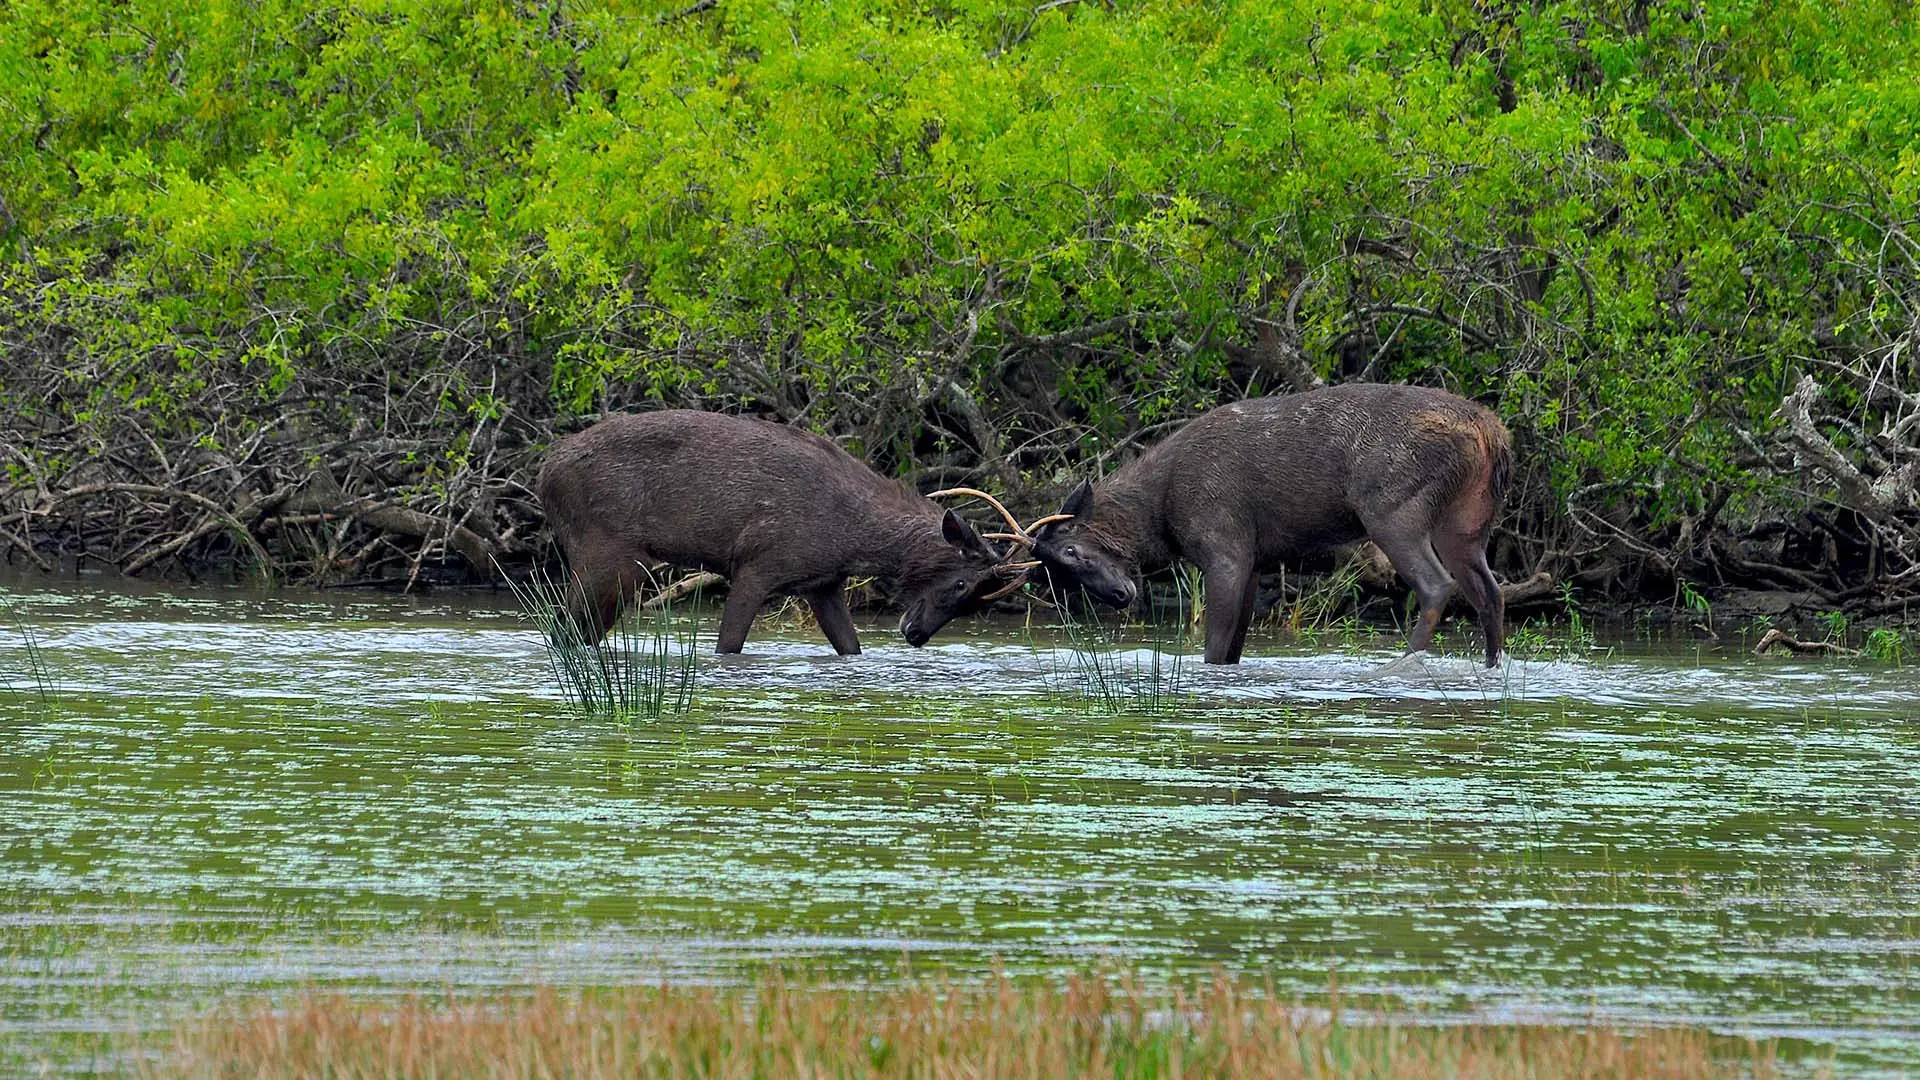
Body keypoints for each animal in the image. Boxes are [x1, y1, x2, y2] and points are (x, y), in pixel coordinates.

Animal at [535, 410, 1034, 654]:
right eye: (962, 583)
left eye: (976, 594)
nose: (917, 635)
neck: (855, 539)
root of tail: (544, 472)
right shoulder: (756, 565)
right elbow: (729, 645)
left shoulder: (823, 584)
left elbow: (851, 647)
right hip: (609, 553)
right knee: (564, 629)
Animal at [1015, 384, 1513, 667]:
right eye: (1057, 576)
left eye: (1072, 551)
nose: (1120, 596)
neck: (1161, 516)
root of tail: (1493, 432)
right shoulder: (1255, 558)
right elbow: (1235, 643)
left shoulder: (1224, 545)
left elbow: (1215, 643)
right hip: (1467, 520)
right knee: (1491, 591)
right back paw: (1491, 664)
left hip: (1393, 508)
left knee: (1437, 585)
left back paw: (1402, 664)